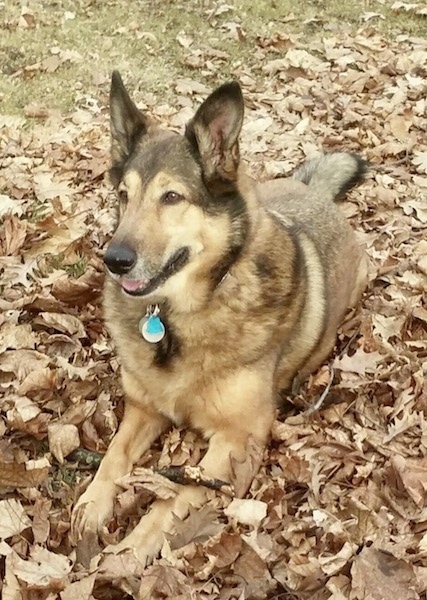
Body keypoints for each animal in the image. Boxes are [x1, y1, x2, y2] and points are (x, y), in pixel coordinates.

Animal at [72, 72, 370, 564]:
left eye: (172, 197)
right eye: (123, 196)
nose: (113, 260)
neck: (181, 314)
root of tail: (313, 192)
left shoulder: (236, 442)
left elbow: (172, 498)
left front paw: (132, 549)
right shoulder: (143, 409)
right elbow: (114, 455)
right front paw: (93, 503)